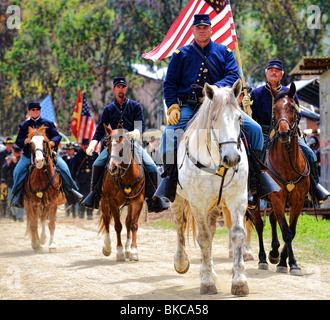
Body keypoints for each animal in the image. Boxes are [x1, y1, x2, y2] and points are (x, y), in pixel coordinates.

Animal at [98, 124, 144, 262]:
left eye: (122, 145)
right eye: (108, 144)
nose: (112, 168)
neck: (126, 177)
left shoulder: (138, 200)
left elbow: (133, 224)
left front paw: (133, 251)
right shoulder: (112, 201)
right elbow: (117, 226)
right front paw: (119, 252)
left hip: (129, 204)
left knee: (128, 222)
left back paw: (128, 249)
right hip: (104, 201)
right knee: (106, 220)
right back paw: (107, 247)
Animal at [174, 79, 249, 296]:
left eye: (239, 118)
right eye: (214, 118)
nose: (232, 158)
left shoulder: (237, 199)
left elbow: (237, 234)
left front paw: (239, 280)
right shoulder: (197, 204)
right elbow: (204, 238)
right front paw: (207, 282)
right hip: (177, 199)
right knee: (180, 224)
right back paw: (181, 261)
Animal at [253, 82, 310, 276]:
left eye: (292, 107)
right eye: (275, 109)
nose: (284, 133)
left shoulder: (297, 201)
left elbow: (291, 230)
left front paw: (284, 261)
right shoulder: (278, 198)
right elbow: (286, 232)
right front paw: (290, 263)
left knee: (271, 219)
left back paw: (274, 253)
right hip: (254, 201)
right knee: (259, 224)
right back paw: (263, 258)